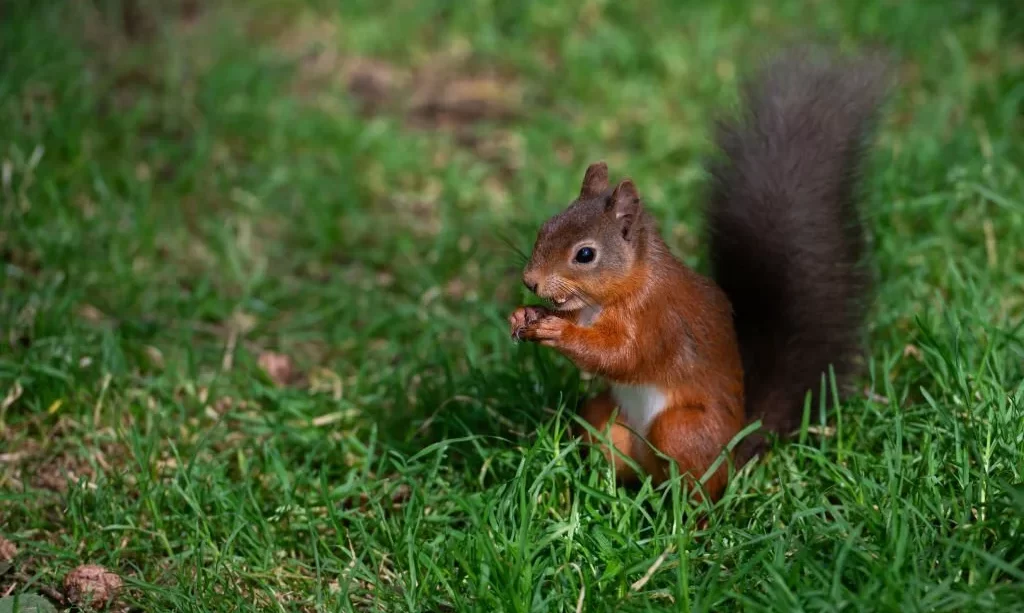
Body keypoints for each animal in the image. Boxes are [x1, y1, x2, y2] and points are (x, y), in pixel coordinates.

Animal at [509, 49, 888, 503]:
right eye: (545, 227)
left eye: (585, 254)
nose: (531, 281)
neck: (610, 297)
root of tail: (736, 451)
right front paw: (526, 315)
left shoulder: (659, 319)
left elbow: (623, 356)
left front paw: (557, 332)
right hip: (604, 418)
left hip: (685, 430)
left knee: (698, 486)